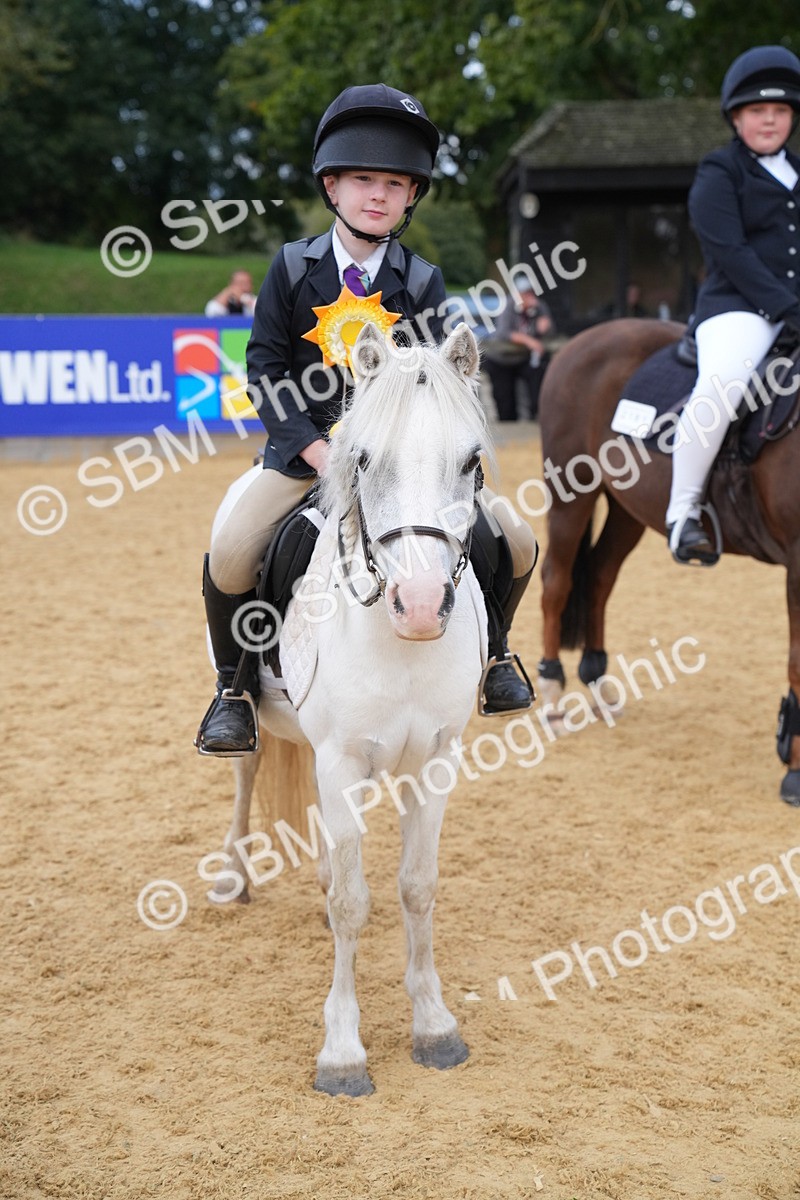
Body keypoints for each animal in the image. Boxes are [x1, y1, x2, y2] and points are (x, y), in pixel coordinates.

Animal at [204, 321, 491, 1096]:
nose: (420, 608)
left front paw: (434, 1024)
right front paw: (341, 1051)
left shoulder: (435, 761)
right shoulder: (342, 761)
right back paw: (233, 875)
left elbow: (416, 888)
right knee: (245, 773)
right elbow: (352, 905)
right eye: (363, 458)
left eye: (472, 461)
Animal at [535, 317, 800, 806]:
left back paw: (598, 685)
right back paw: (553, 696)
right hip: (573, 494)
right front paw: (793, 771)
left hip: (627, 508)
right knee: (556, 584)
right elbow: (797, 661)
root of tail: (586, 337)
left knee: (599, 578)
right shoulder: (797, 561)